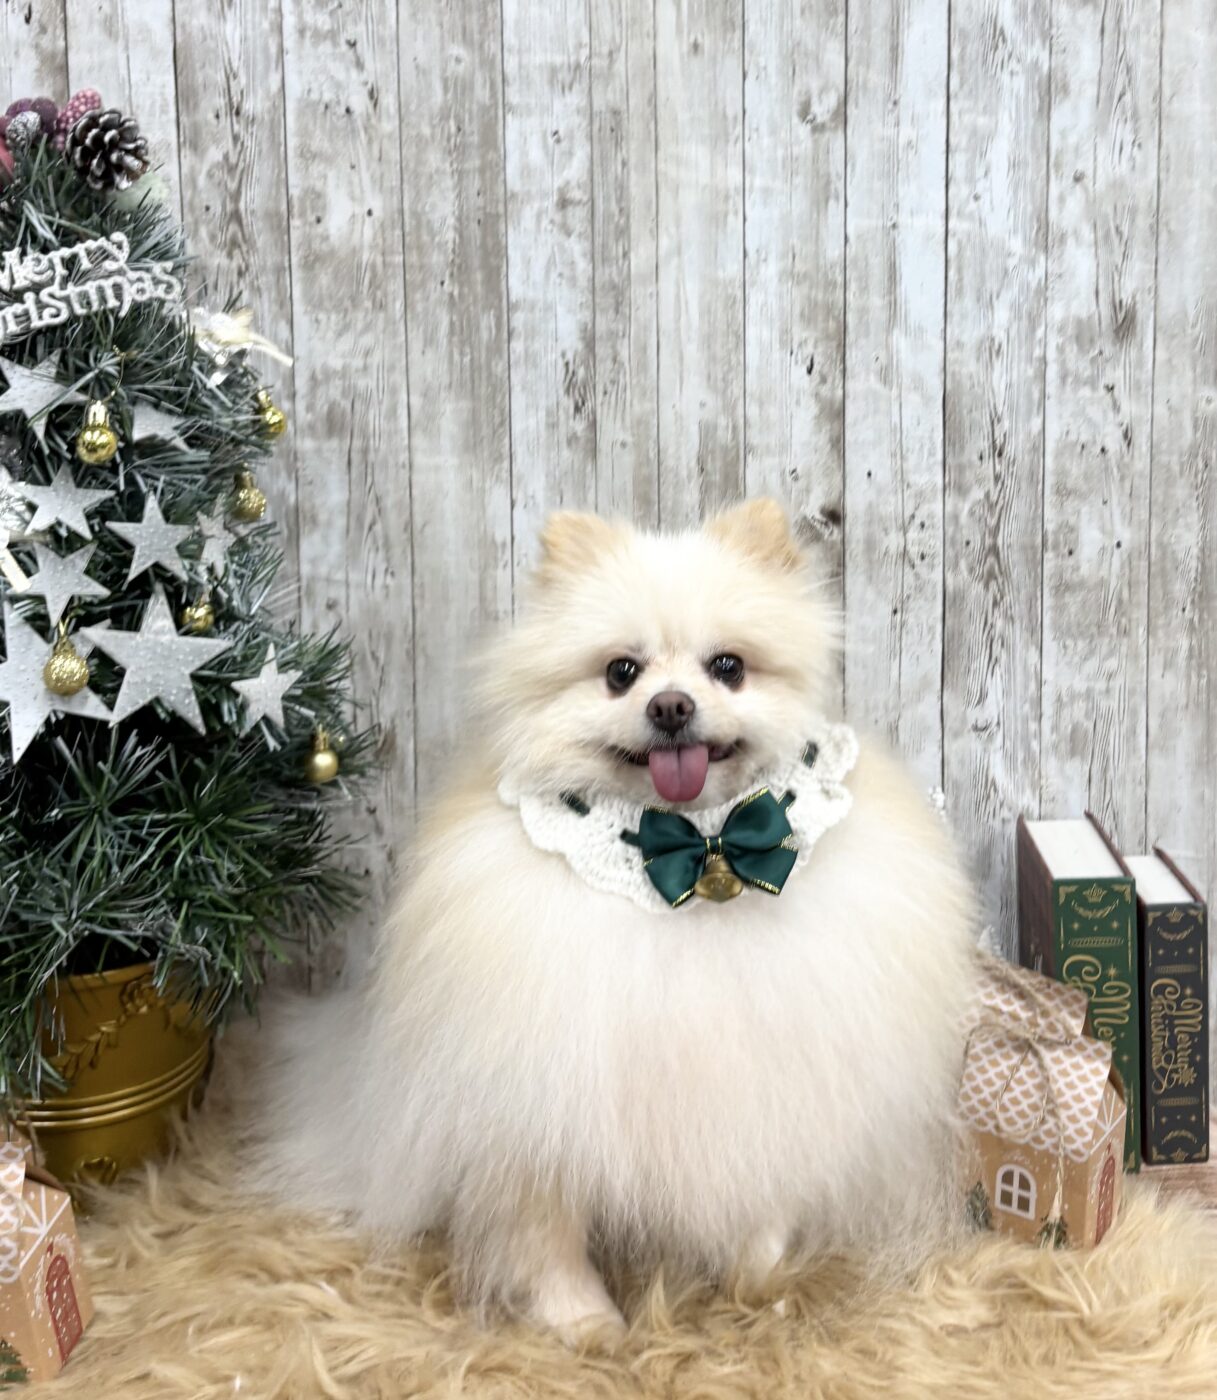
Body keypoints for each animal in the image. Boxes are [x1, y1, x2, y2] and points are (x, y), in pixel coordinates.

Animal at [254, 499, 977, 1340]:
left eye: (727, 667)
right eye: (620, 673)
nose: (670, 706)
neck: (692, 860)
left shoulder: (778, 1085)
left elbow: (764, 1194)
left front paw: (756, 1277)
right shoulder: (533, 1105)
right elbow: (544, 1233)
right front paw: (582, 1322)